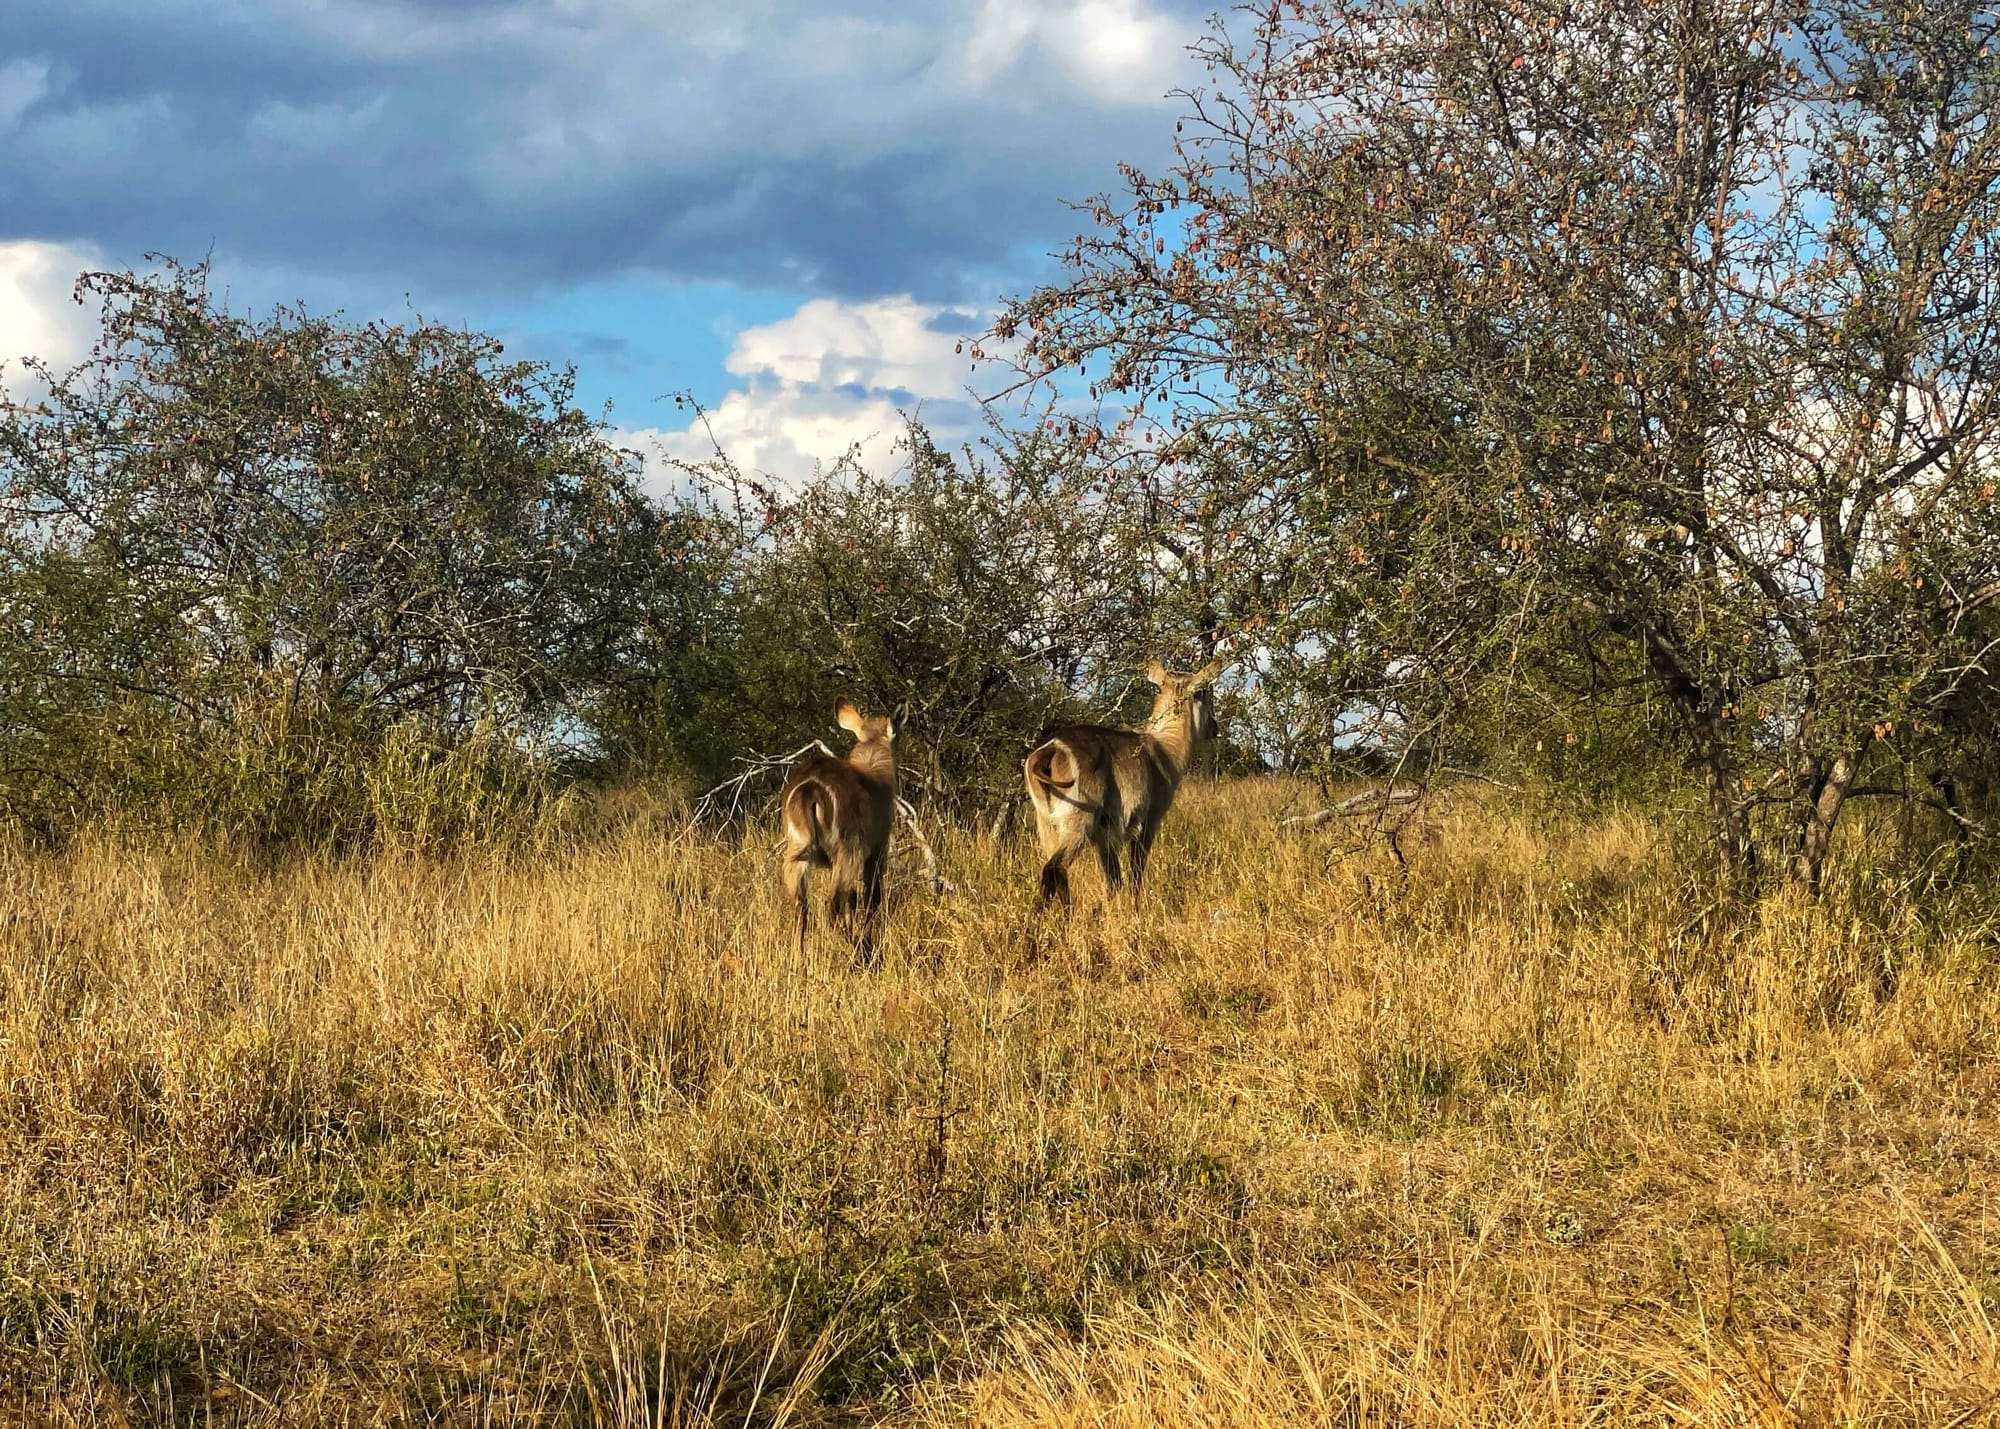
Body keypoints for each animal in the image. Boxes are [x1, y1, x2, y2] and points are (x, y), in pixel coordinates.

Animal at [780, 700, 900, 956]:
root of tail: (811, 786)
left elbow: (852, 900)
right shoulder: (878, 848)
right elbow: (872, 897)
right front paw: (869, 941)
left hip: (798, 852)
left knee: (801, 907)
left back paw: (799, 961)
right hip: (848, 851)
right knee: (831, 904)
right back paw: (860, 951)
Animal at [1024, 656, 1224, 900]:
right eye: (1202, 693)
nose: (1214, 727)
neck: (1165, 748)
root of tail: (1051, 749)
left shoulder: (1105, 838)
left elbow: (1114, 882)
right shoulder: (1148, 823)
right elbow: (1135, 876)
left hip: (1047, 825)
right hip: (1078, 821)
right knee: (1054, 869)